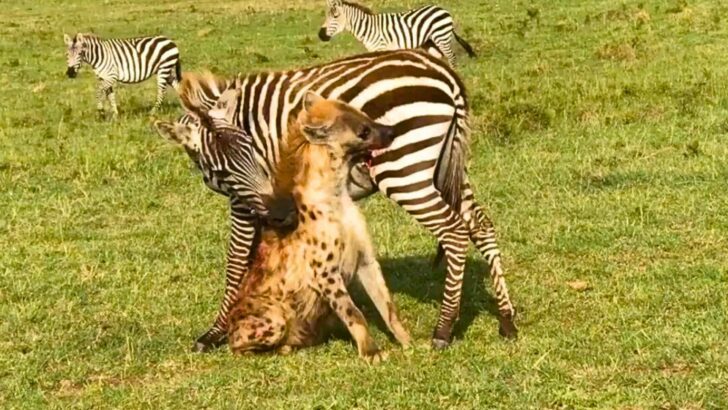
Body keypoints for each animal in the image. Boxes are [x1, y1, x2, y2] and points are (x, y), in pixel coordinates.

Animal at [162, 49, 516, 352]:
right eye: (223, 167)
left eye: (252, 150)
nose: (282, 211)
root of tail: (445, 72)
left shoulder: (244, 200)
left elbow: (236, 261)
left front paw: (215, 332)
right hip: (448, 166)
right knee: (481, 226)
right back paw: (507, 319)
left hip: (404, 170)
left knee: (454, 232)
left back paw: (443, 329)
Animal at [318, 1, 476, 66]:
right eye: (326, 15)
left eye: (335, 16)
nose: (320, 35)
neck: (368, 28)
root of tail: (442, 10)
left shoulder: (380, 47)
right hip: (429, 41)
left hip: (441, 36)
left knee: (451, 57)